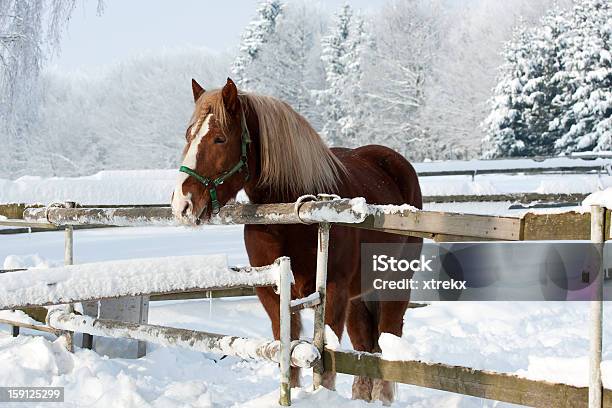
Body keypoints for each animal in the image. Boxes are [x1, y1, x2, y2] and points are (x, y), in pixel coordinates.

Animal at [170, 78, 424, 404]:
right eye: (189, 135)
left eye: (219, 139)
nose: (182, 204)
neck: (289, 215)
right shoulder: (272, 292)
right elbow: (287, 356)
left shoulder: (332, 292)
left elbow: (326, 364)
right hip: (357, 296)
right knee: (364, 346)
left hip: (394, 283)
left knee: (387, 339)